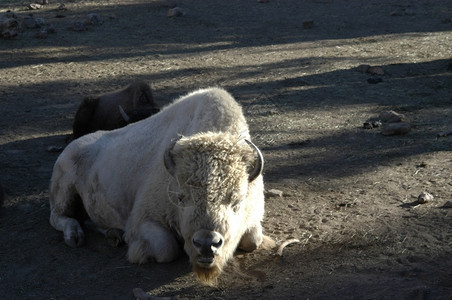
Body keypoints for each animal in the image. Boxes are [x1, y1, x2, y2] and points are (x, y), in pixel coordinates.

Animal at [49, 88, 270, 284]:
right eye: (180, 197)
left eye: (237, 200)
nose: (207, 244)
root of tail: (71, 147)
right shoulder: (143, 219)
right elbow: (166, 248)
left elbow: (253, 239)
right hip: (63, 189)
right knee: (58, 217)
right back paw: (75, 236)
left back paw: (114, 234)